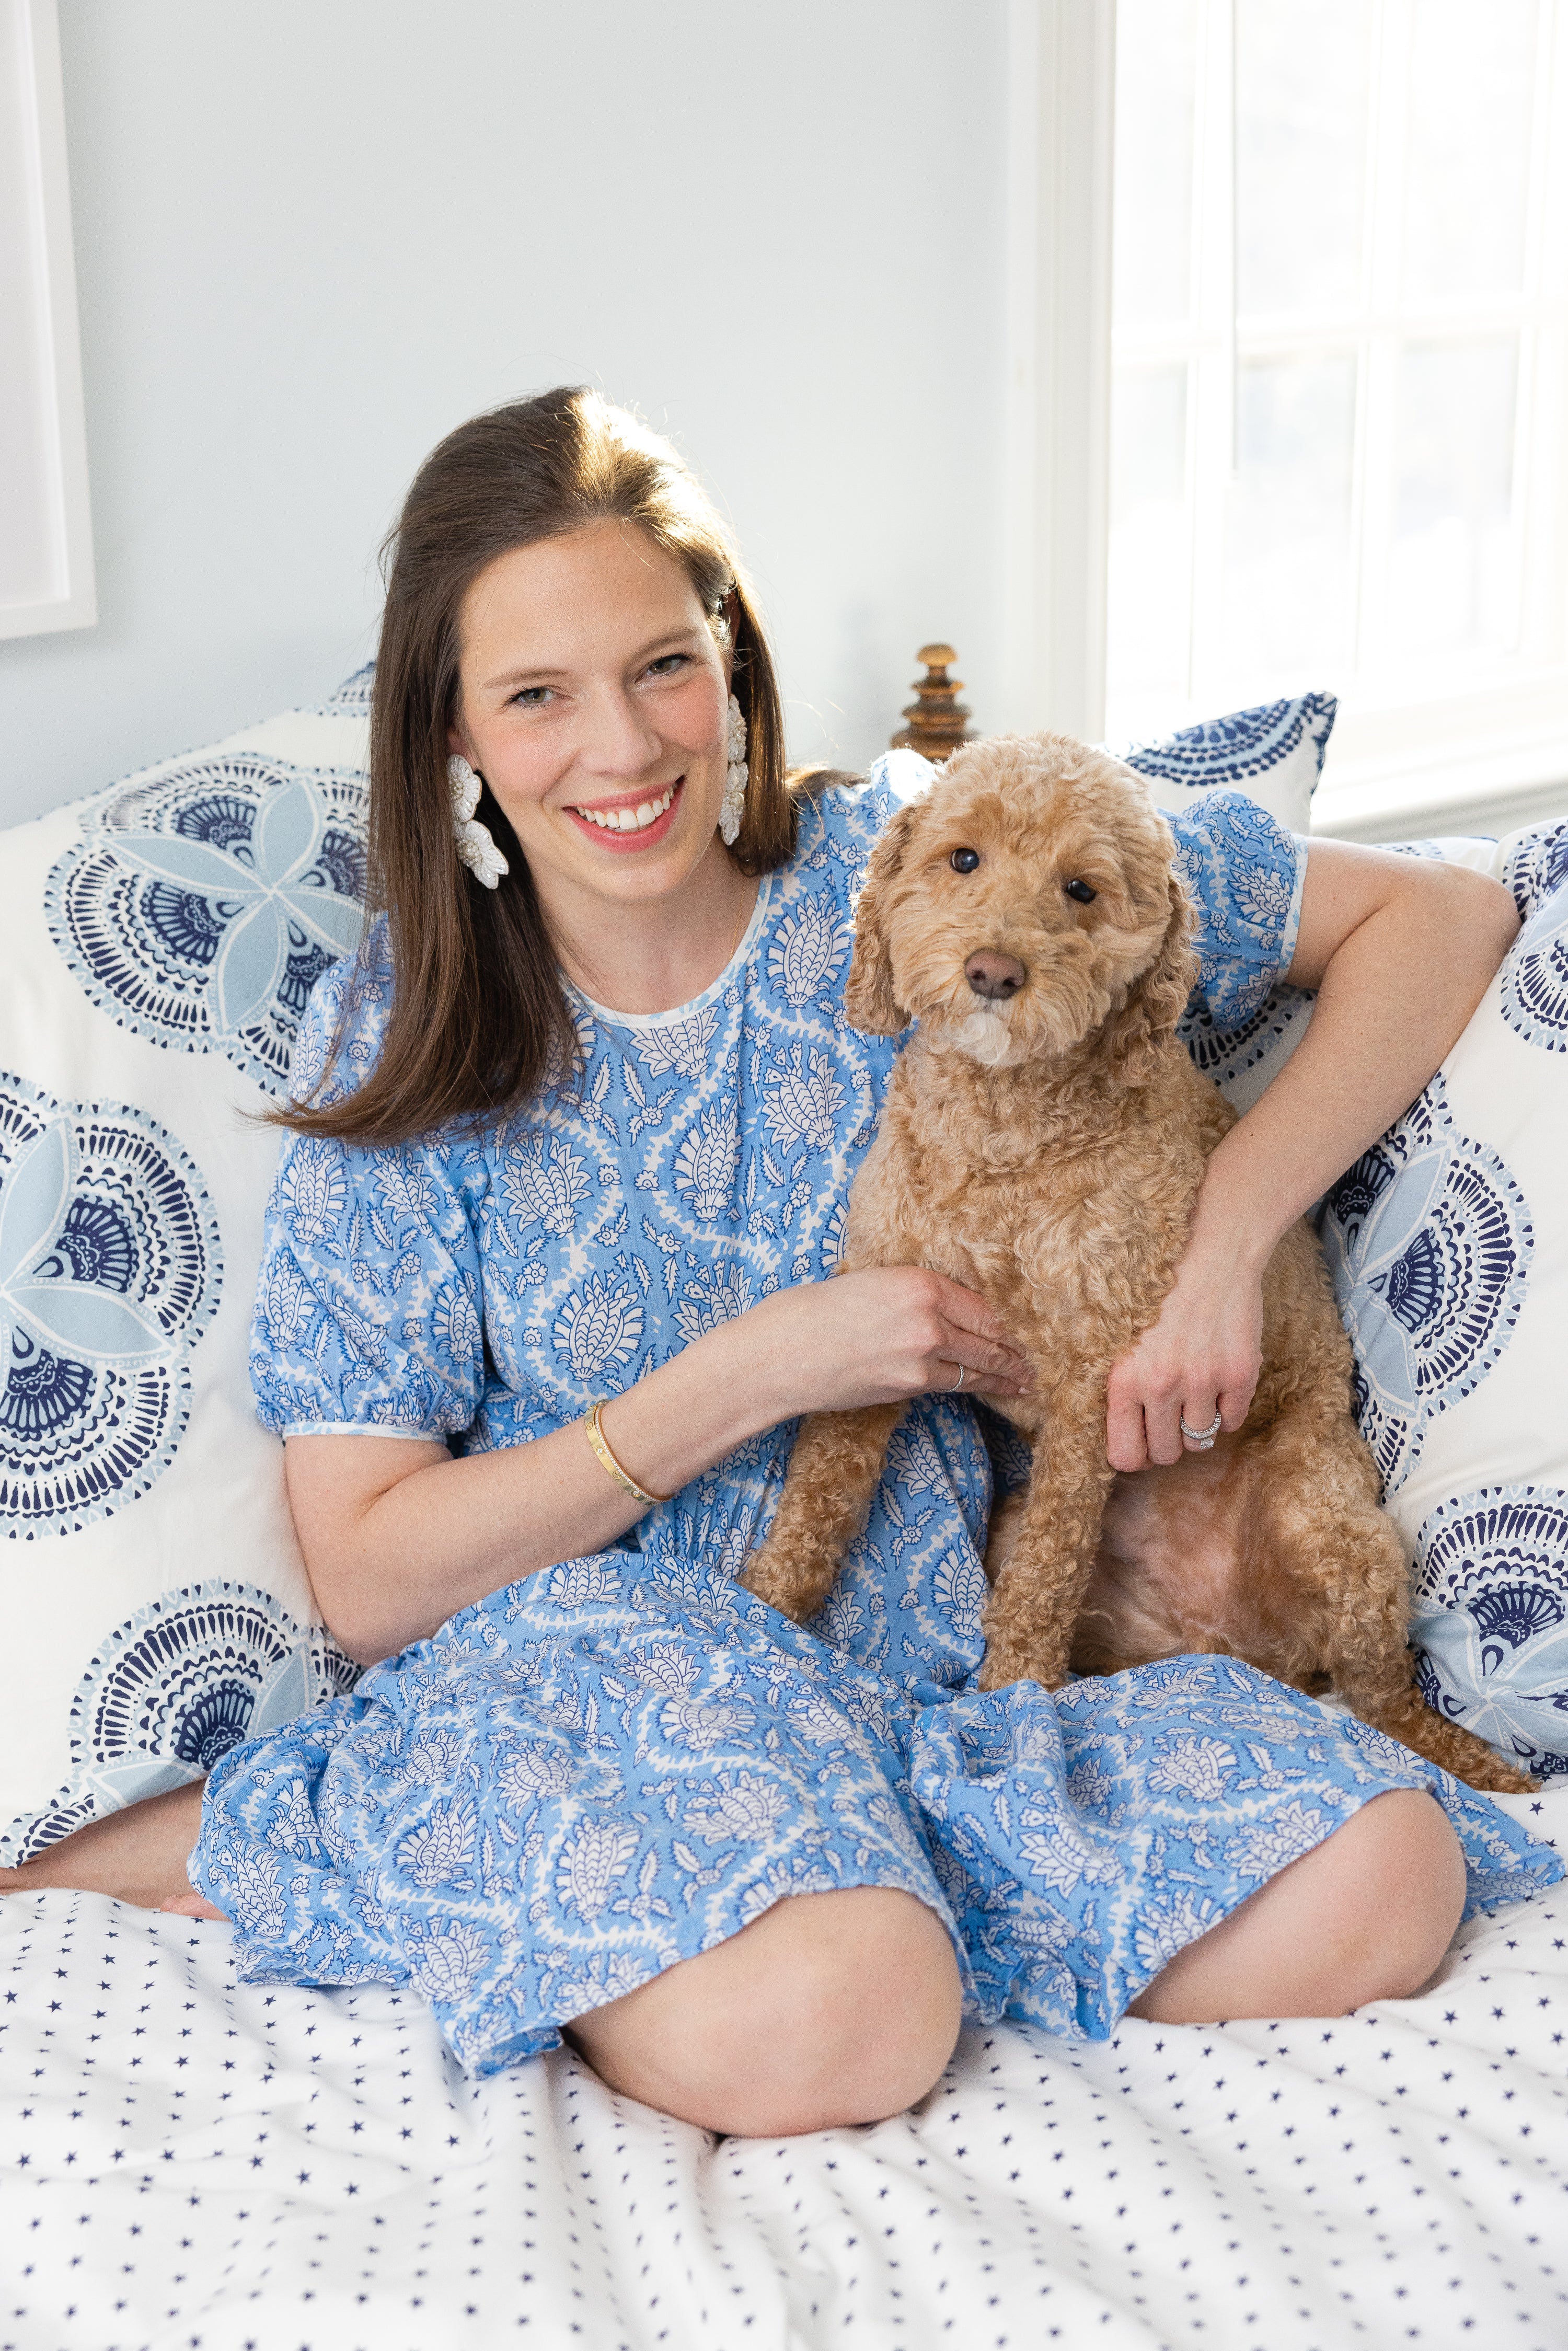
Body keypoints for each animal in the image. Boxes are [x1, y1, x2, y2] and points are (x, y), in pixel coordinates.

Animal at [747, 733, 1532, 1796]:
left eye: (1081, 889)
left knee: (1386, 1698)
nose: (994, 970)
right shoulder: (882, 1323)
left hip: (1336, 1525)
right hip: (1036, 1534)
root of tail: (1236, 1644)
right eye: (963, 859)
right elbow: (816, 1503)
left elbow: (1041, 1584)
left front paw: (1009, 1706)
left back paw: (1482, 1766)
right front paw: (761, 1608)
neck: (1000, 1137)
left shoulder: (1091, 1389)